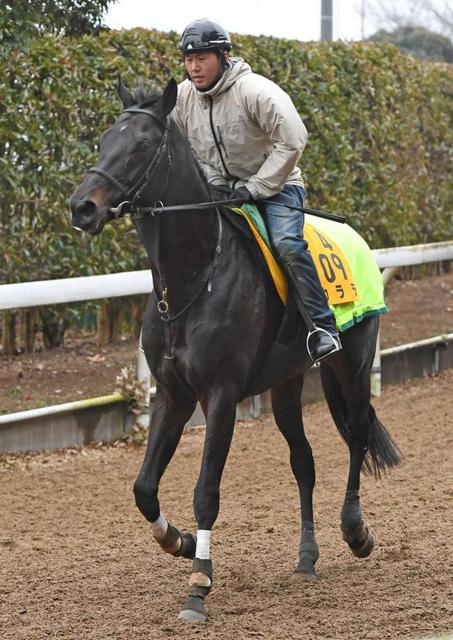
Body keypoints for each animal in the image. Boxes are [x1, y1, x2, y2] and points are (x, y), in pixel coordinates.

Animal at [68, 77, 400, 624]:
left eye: (141, 146)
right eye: (102, 141)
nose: (83, 207)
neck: (194, 277)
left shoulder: (220, 395)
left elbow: (206, 491)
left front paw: (199, 583)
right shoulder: (172, 395)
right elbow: (143, 488)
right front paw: (179, 541)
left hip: (351, 363)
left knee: (355, 435)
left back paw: (356, 531)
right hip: (287, 383)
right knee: (304, 461)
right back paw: (306, 558)